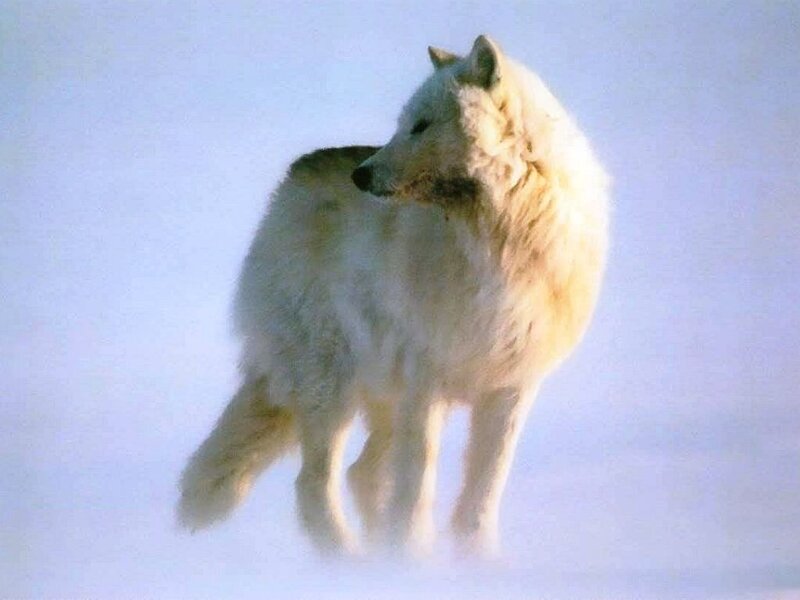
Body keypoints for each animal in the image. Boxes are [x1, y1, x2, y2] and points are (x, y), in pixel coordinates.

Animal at [178, 35, 609, 557]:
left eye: (421, 126)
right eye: (402, 124)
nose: (360, 177)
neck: (500, 240)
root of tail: (289, 182)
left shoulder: (511, 386)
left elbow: (484, 488)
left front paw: (475, 560)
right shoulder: (426, 378)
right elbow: (418, 481)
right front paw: (413, 557)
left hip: (383, 397)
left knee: (361, 474)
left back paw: (374, 556)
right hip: (333, 387)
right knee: (315, 484)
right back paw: (350, 561)